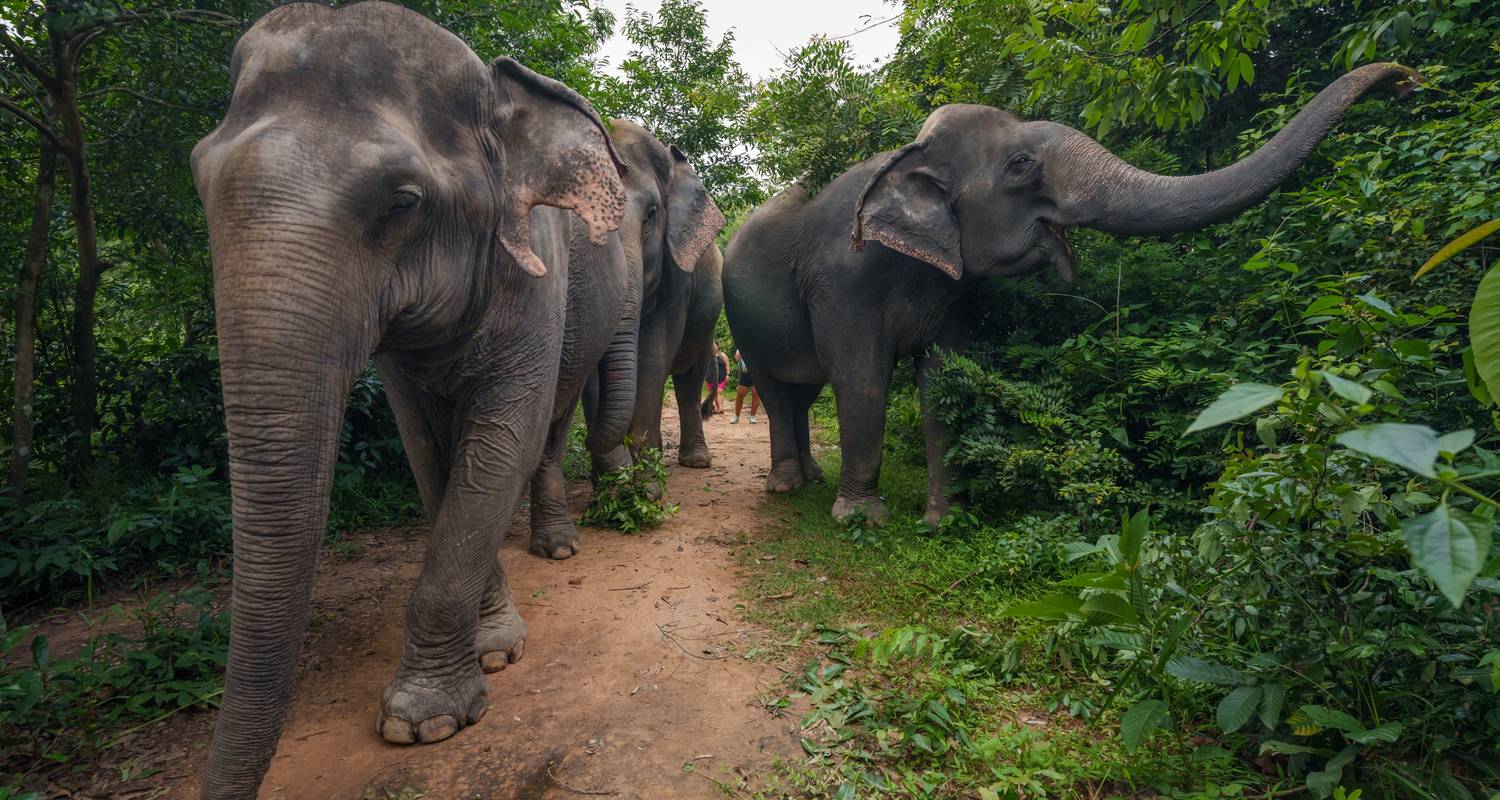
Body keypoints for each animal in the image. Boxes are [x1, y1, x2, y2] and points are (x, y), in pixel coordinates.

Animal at [189, 3, 633, 792]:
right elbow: (428, 452)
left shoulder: (536, 271)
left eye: (402, 202)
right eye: (198, 183)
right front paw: (491, 649)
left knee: (551, 426)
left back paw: (556, 548)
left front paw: (423, 722)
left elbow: (501, 443)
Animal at [723, 60, 1416, 525]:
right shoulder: (844, 279)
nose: (1406, 82)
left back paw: (811, 478)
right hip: (743, 321)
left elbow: (943, 378)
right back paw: (788, 488)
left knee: (802, 391)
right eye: (1021, 165)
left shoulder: (953, 294)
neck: (907, 156)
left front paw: (943, 522)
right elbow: (863, 379)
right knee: (779, 391)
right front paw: (862, 523)